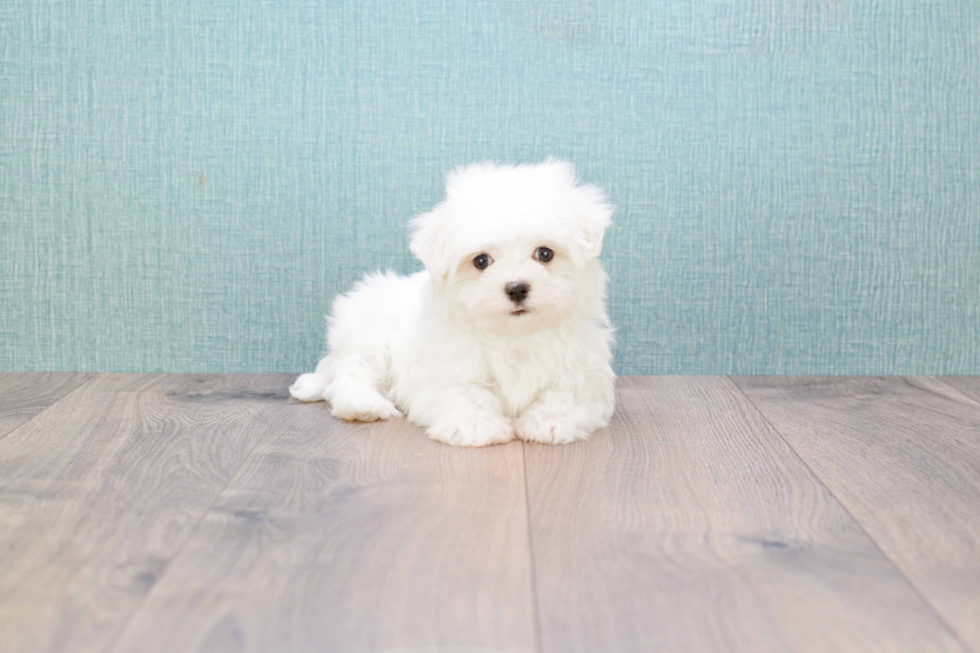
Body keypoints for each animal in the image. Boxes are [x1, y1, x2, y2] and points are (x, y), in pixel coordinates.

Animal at [288, 159, 616, 446]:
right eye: (481, 261)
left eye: (545, 254)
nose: (517, 288)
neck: (514, 336)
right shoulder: (445, 371)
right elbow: (465, 396)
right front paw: (475, 426)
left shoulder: (582, 373)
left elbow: (566, 396)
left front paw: (549, 422)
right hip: (368, 339)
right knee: (352, 374)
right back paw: (363, 405)